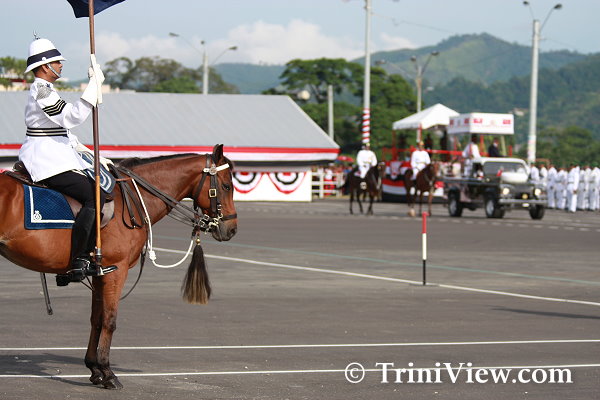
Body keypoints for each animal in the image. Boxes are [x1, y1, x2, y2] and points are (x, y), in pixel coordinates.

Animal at [0, 144, 237, 389]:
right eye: (226, 186)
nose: (231, 228)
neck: (134, 199)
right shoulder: (116, 270)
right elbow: (110, 320)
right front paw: (108, 372)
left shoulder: (100, 273)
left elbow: (96, 319)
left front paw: (94, 368)